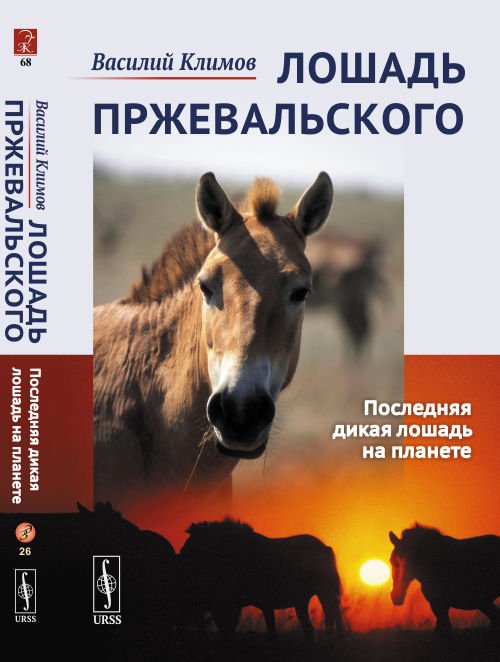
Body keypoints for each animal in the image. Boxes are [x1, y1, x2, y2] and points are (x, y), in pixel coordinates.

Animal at [179, 518, 344, 641]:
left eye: (192, 543)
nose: (181, 554)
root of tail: (325, 547)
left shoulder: (237, 603)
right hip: (304, 600)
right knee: (313, 625)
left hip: (324, 593)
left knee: (333, 616)